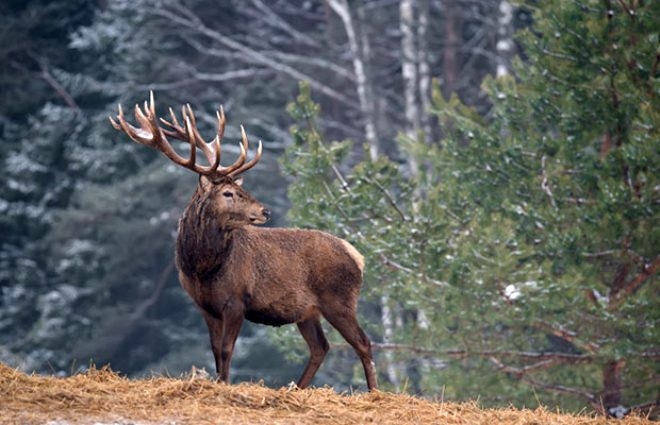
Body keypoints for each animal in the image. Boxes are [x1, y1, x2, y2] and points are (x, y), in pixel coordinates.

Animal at [108, 93, 376, 390]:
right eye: (228, 192)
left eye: (239, 188)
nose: (265, 211)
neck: (202, 269)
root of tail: (357, 255)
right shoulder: (205, 306)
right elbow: (215, 350)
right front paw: (218, 383)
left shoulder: (237, 301)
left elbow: (227, 350)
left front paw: (225, 384)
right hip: (307, 311)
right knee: (320, 347)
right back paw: (295, 388)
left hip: (338, 299)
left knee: (363, 343)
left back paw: (373, 392)